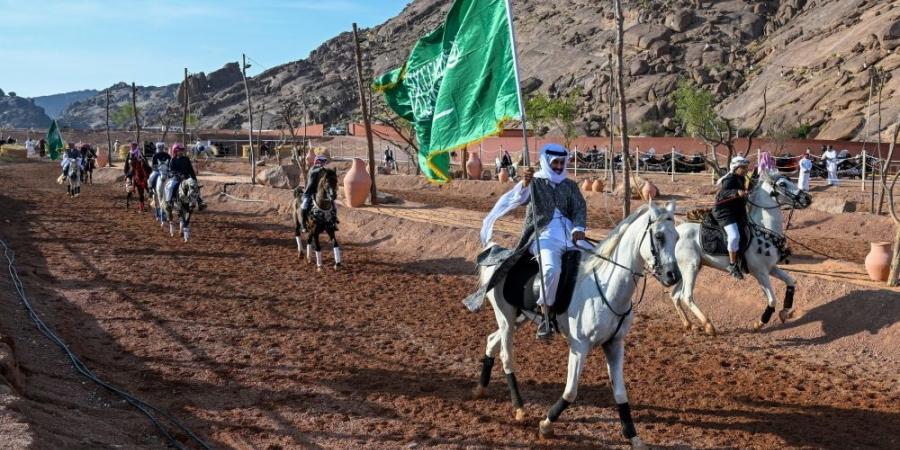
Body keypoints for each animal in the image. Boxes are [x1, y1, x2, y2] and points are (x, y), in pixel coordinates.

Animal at [474, 202, 680, 448]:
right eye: (658, 236)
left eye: (677, 237)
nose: (673, 275)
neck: (606, 286)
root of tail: (496, 252)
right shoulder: (579, 347)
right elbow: (571, 391)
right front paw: (546, 425)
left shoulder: (614, 344)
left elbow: (620, 393)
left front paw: (633, 436)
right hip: (505, 318)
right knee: (506, 357)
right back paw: (519, 408)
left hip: (518, 318)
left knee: (491, 340)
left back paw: (481, 388)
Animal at [672, 171, 812, 336]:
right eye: (782, 184)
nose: (807, 198)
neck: (764, 231)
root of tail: (676, 231)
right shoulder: (760, 273)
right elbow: (772, 300)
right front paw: (759, 323)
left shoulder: (771, 268)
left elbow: (790, 282)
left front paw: (784, 312)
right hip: (690, 267)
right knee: (686, 296)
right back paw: (708, 326)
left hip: (690, 268)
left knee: (675, 295)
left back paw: (689, 324)